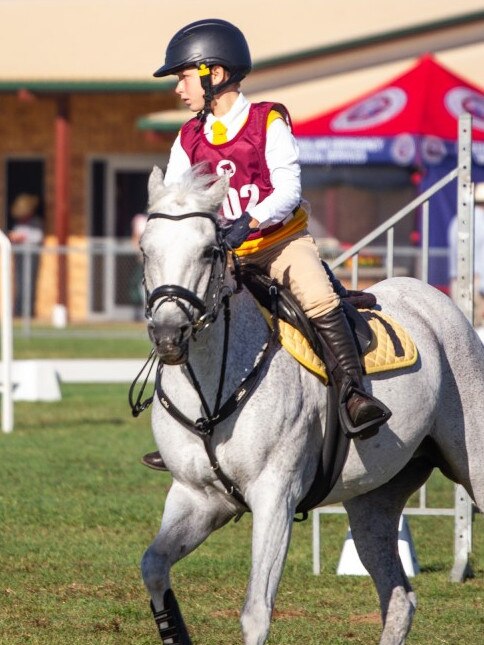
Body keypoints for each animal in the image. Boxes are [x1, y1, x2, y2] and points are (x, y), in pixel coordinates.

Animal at [138, 165, 482, 644]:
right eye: (144, 249)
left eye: (208, 251)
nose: (169, 335)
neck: (211, 386)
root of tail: (432, 299)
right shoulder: (196, 498)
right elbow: (153, 567)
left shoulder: (275, 497)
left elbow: (256, 610)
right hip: (375, 498)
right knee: (399, 598)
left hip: (474, 464)